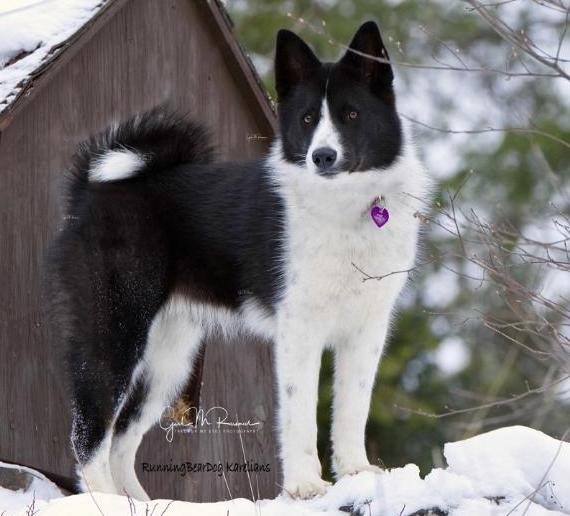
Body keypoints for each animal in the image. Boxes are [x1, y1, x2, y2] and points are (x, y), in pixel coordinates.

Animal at [48, 22, 428, 502]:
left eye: (352, 115)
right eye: (307, 120)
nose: (322, 156)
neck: (346, 204)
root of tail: (90, 193)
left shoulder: (366, 329)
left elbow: (352, 407)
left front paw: (357, 473)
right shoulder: (299, 330)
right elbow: (300, 414)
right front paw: (306, 486)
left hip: (169, 357)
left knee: (122, 439)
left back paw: (143, 503)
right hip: (115, 331)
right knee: (90, 431)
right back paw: (107, 501)